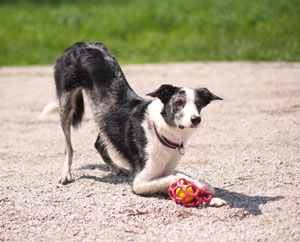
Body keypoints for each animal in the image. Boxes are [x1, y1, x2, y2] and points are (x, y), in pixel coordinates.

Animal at [53, 41, 225, 206]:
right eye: (179, 103)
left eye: (198, 104)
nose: (196, 119)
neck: (162, 131)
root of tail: (79, 44)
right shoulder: (139, 182)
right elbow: (176, 178)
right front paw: (202, 188)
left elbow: (182, 178)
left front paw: (208, 194)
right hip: (66, 104)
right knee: (69, 147)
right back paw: (65, 173)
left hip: (102, 118)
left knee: (99, 143)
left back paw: (114, 168)